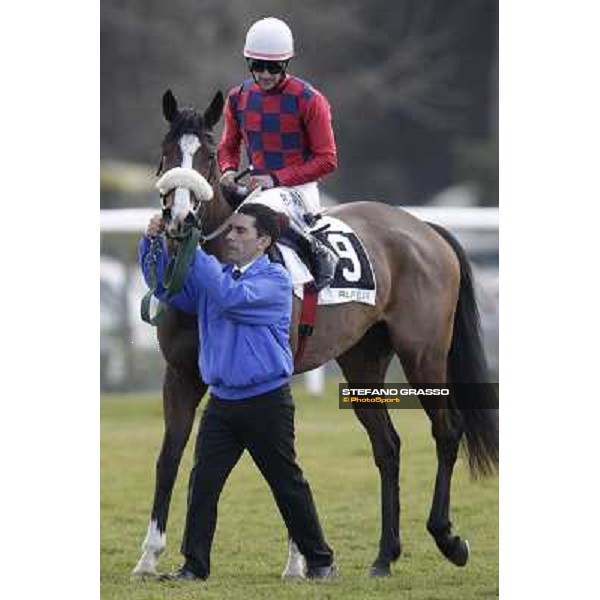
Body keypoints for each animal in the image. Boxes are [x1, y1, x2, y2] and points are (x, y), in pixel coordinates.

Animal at [134, 88, 500, 576]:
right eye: (167, 151)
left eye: (208, 156)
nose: (177, 218)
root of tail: (424, 227)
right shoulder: (180, 374)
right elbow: (170, 456)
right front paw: (149, 556)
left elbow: (279, 459)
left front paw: (298, 560)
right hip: (362, 360)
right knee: (387, 445)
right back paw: (384, 556)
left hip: (423, 353)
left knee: (447, 429)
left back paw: (447, 539)